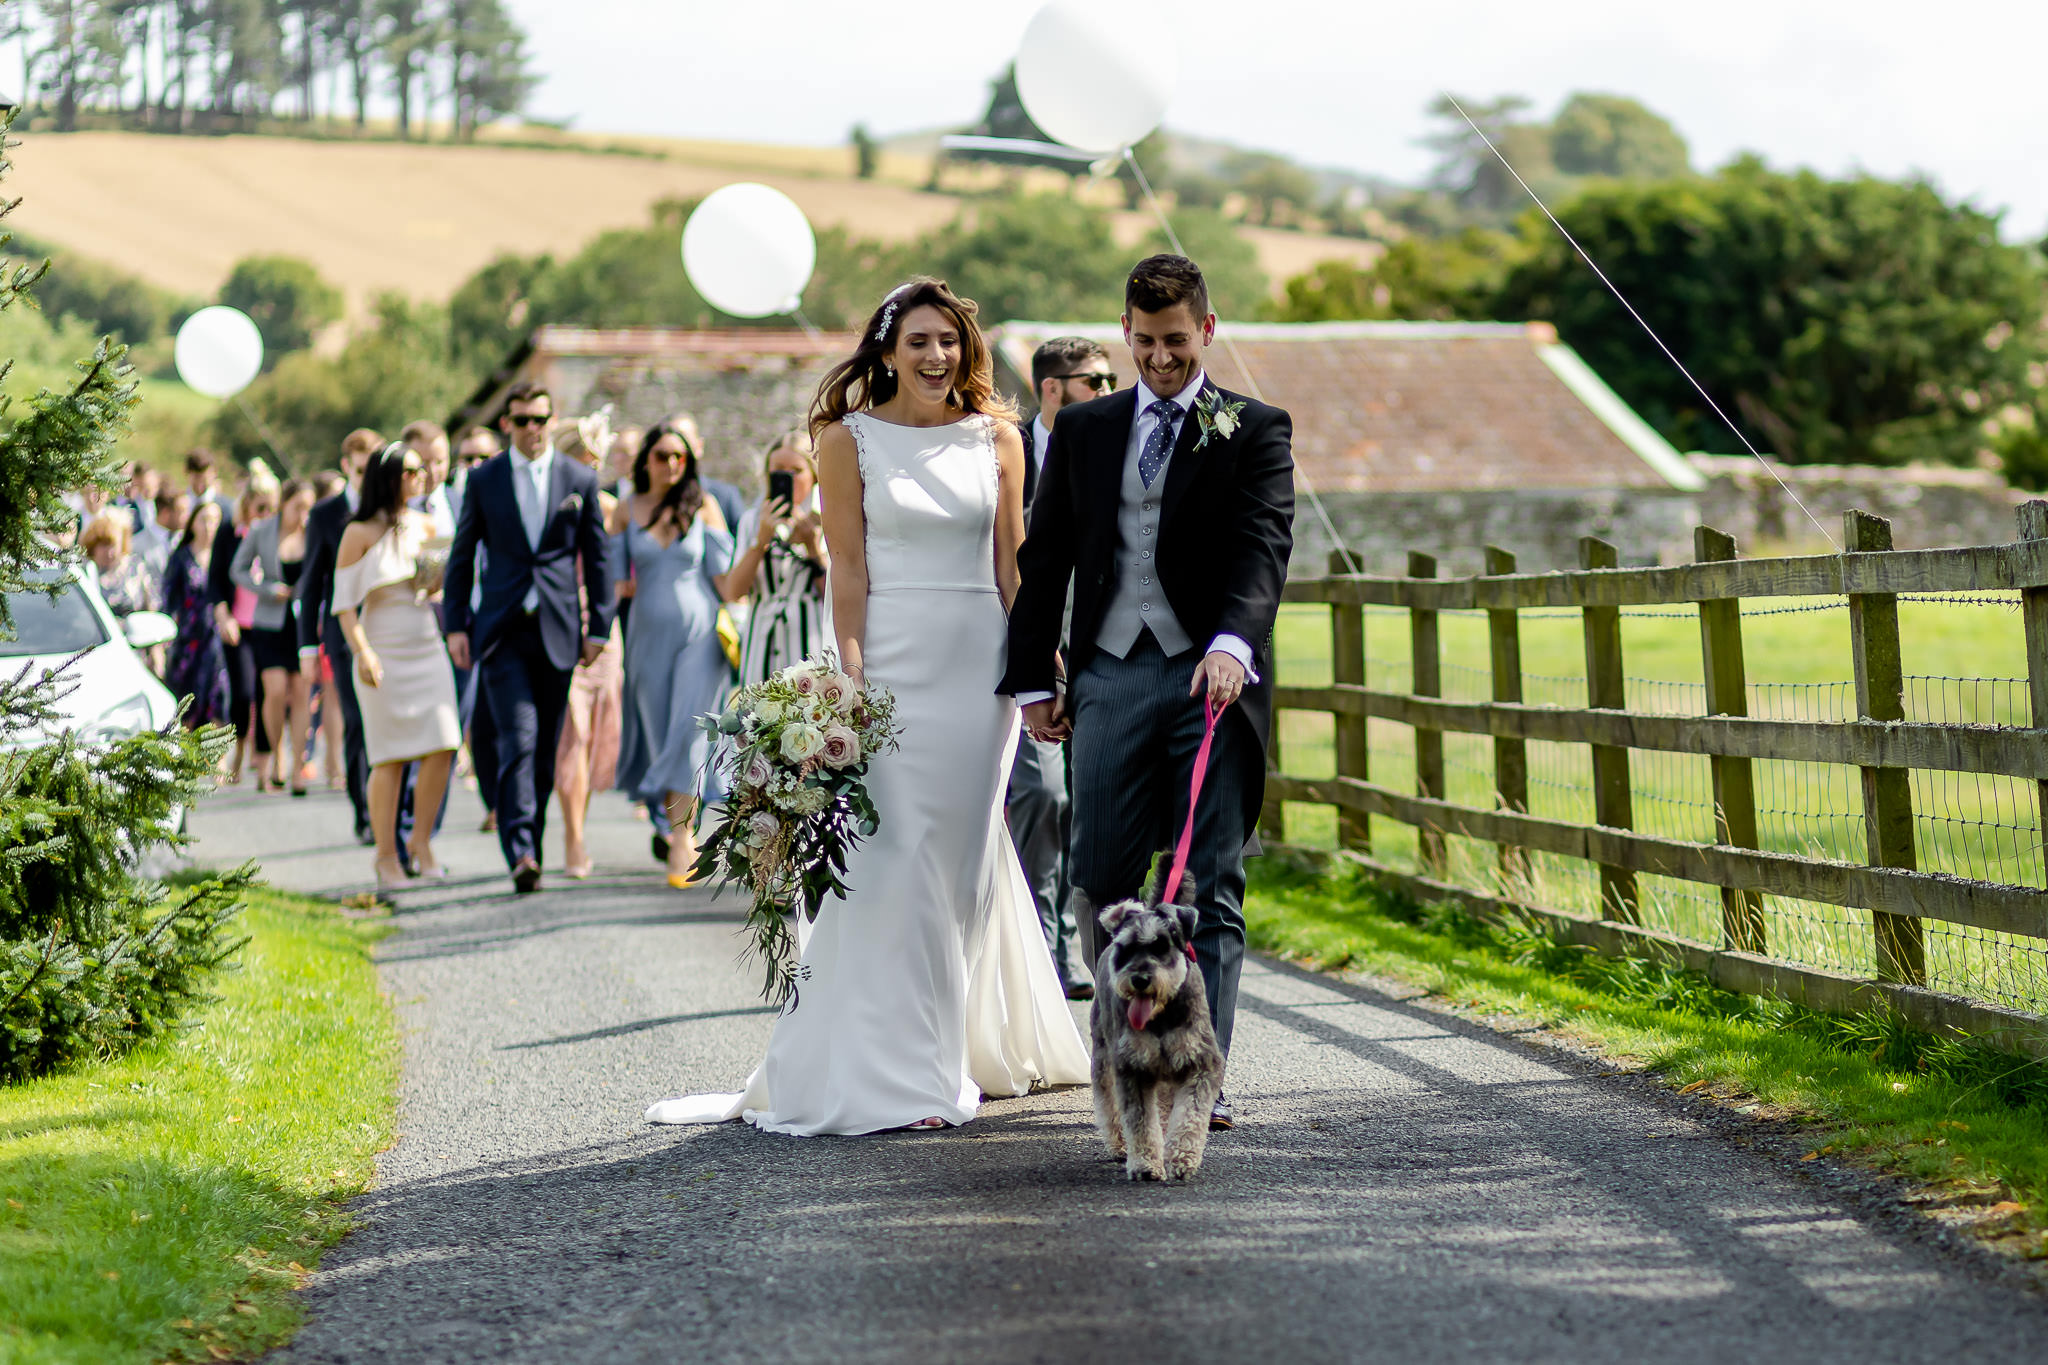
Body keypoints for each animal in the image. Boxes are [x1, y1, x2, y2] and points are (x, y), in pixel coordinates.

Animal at [1081, 879, 1220, 1178]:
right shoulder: (1133, 1068)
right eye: (1126, 948)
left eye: (1161, 946)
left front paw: (1182, 1159)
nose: (1140, 979)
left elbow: (1190, 1116)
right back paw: (1120, 1145)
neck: (1161, 1016)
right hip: (1104, 1058)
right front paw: (1146, 1165)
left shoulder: (1200, 1064)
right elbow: (1140, 1123)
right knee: (1109, 1105)